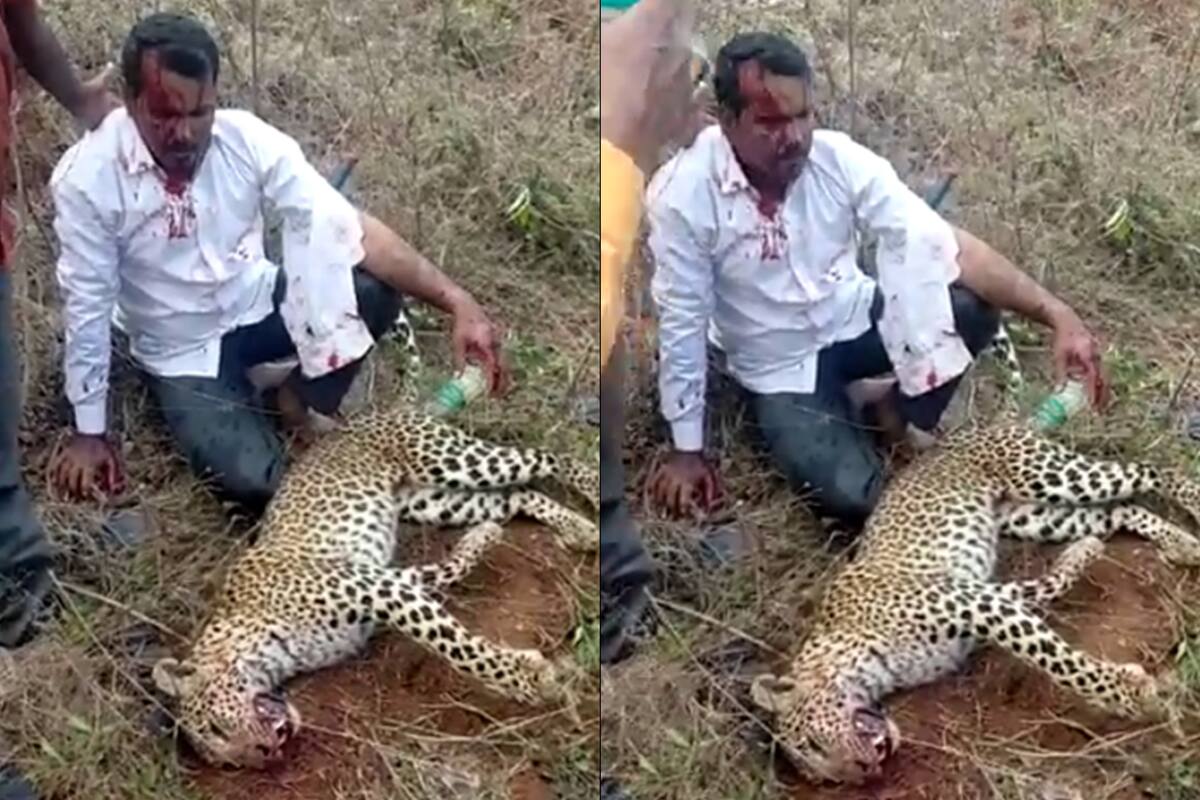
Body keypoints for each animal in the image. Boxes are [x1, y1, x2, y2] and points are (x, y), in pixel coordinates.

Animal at [151, 405, 598, 769]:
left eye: (215, 727)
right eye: (228, 763)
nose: (265, 755)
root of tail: (366, 416)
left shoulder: (377, 590)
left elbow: (454, 647)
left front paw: (528, 680)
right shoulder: (390, 582)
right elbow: (448, 573)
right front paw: (482, 539)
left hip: (453, 461)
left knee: (545, 458)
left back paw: (593, 490)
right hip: (435, 502)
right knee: (517, 494)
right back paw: (578, 529)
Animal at [749, 423, 1200, 786]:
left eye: (812, 743)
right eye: (826, 779)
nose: (865, 773)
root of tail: (972, 428)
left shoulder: (975, 603)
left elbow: (1054, 659)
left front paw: (1129, 695)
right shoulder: (987, 597)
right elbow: (1048, 587)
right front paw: (1082, 554)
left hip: (1051, 476)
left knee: (1147, 471)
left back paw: (1191, 503)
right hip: (1035, 517)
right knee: (1120, 509)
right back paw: (1181, 544)